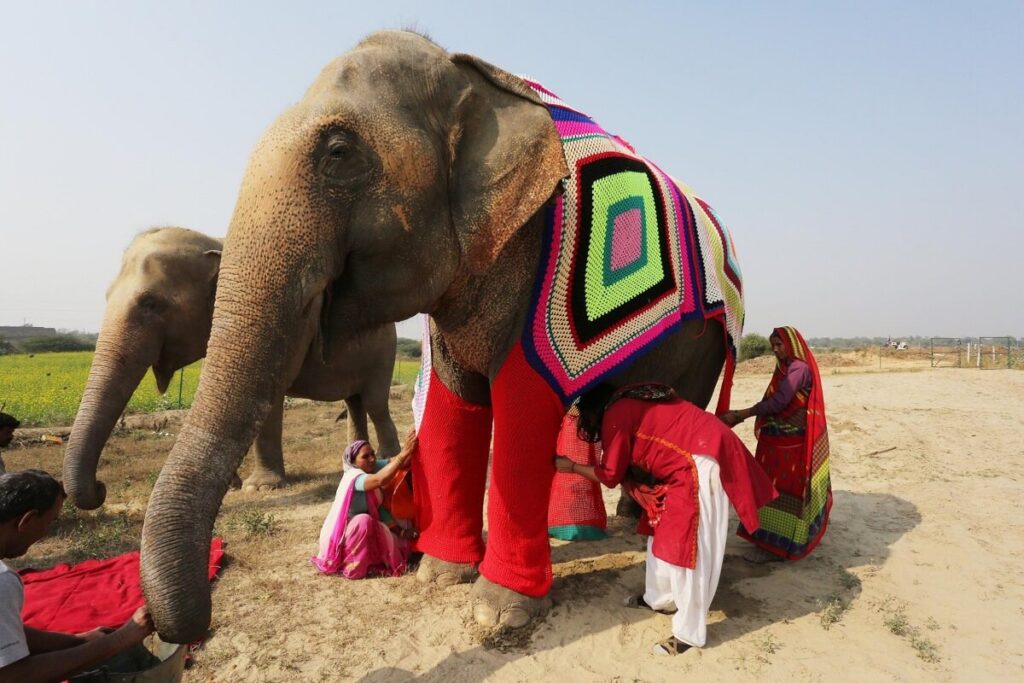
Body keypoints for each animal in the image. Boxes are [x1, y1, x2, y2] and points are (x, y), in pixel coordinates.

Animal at [63, 226, 400, 510]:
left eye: (151, 303)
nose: (101, 488)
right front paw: (233, 485)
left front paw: (260, 488)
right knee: (354, 401)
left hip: (385, 352)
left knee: (374, 401)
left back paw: (387, 456)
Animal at [139, 30, 745, 644]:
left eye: (339, 153)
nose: (176, 629)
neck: (471, 78)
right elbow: (455, 401)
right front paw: (442, 574)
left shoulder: (536, 260)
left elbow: (523, 403)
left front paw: (499, 612)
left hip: (710, 342)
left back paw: (640, 524)